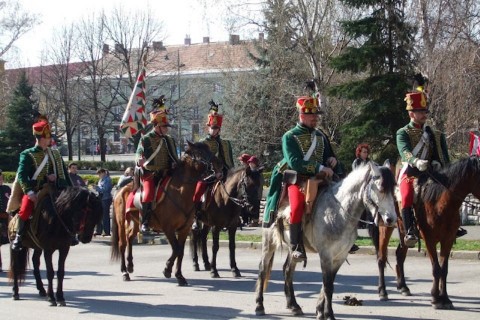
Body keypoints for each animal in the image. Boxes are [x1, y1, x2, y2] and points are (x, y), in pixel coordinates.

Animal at [111, 141, 221, 286]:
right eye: (200, 153)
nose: (219, 166)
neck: (181, 192)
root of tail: (119, 190)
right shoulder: (168, 228)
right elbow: (176, 249)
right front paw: (167, 269)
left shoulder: (184, 229)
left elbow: (180, 251)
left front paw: (179, 276)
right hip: (121, 222)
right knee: (122, 244)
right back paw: (124, 271)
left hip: (135, 222)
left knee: (129, 239)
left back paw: (130, 265)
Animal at [255, 162, 398, 320]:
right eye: (381, 188)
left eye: (394, 188)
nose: (391, 219)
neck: (339, 211)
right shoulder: (326, 256)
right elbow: (328, 286)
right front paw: (329, 314)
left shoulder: (339, 257)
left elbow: (327, 284)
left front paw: (319, 310)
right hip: (269, 242)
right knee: (263, 268)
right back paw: (259, 306)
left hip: (294, 249)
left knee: (287, 269)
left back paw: (293, 305)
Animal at [376, 156, 480, 308]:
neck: (441, 203)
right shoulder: (429, 239)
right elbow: (436, 269)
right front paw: (436, 298)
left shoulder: (448, 239)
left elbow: (444, 269)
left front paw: (445, 298)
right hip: (385, 227)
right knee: (381, 258)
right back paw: (383, 291)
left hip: (404, 233)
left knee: (399, 256)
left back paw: (403, 287)